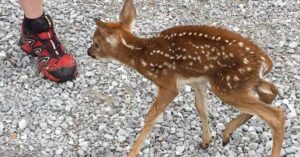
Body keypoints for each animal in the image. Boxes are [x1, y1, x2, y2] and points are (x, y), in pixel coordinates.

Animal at [87, 0, 286, 156]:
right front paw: (206, 141)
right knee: (271, 92)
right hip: (241, 83)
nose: (89, 52)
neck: (141, 55)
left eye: (96, 43)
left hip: (228, 85)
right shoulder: (197, 79)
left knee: (276, 115)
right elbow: (201, 107)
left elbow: (151, 116)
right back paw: (226, 134)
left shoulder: (168, 83)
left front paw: (132, 152)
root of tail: (265, 61)